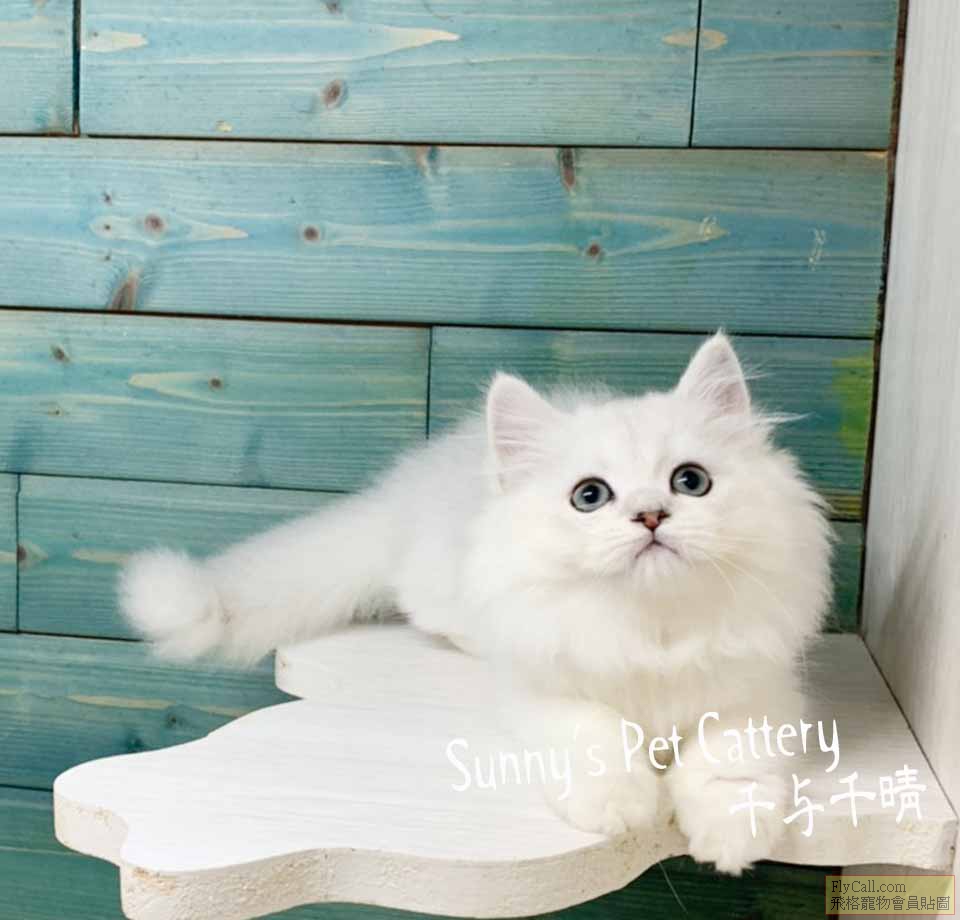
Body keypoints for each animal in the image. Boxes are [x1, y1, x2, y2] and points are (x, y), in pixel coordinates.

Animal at [120, 332, 832, 874]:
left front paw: (731, 838)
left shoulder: (757, 690)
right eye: (590, 496)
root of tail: (404, 494)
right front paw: (622, 809)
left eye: (691, 482)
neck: (649, 628)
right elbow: (597, 738)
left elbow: (729, 761)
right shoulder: (544, 689)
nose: (651, 515)